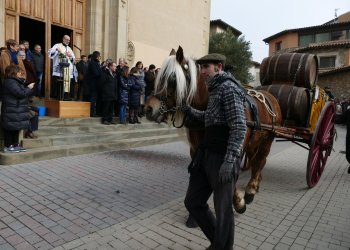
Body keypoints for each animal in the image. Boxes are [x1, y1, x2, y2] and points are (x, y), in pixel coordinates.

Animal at [145, 46, 284, 213]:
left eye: (172, 79)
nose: (148, 109)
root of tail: (270, 96)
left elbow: (227, 177)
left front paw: (239, 202)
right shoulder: (196, 149)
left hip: (268, 140)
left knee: (260, 161)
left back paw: (251, 188)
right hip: (255, 141)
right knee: (256, 160)